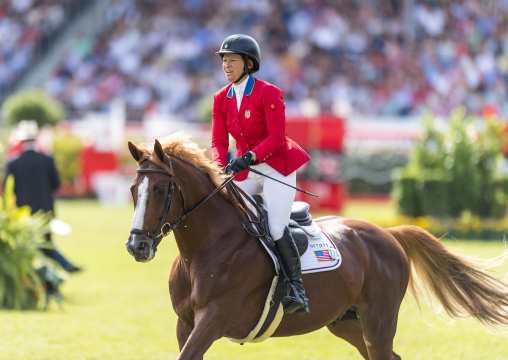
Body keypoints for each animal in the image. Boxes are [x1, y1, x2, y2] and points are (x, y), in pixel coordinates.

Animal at [125, 138, 508, 360]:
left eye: (160, 190)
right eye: (133, 189)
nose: (137, 246)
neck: (205, 249)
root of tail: (386, 234)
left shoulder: (214, 319)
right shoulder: (186, 323)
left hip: (379, 319)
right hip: (345, 321)